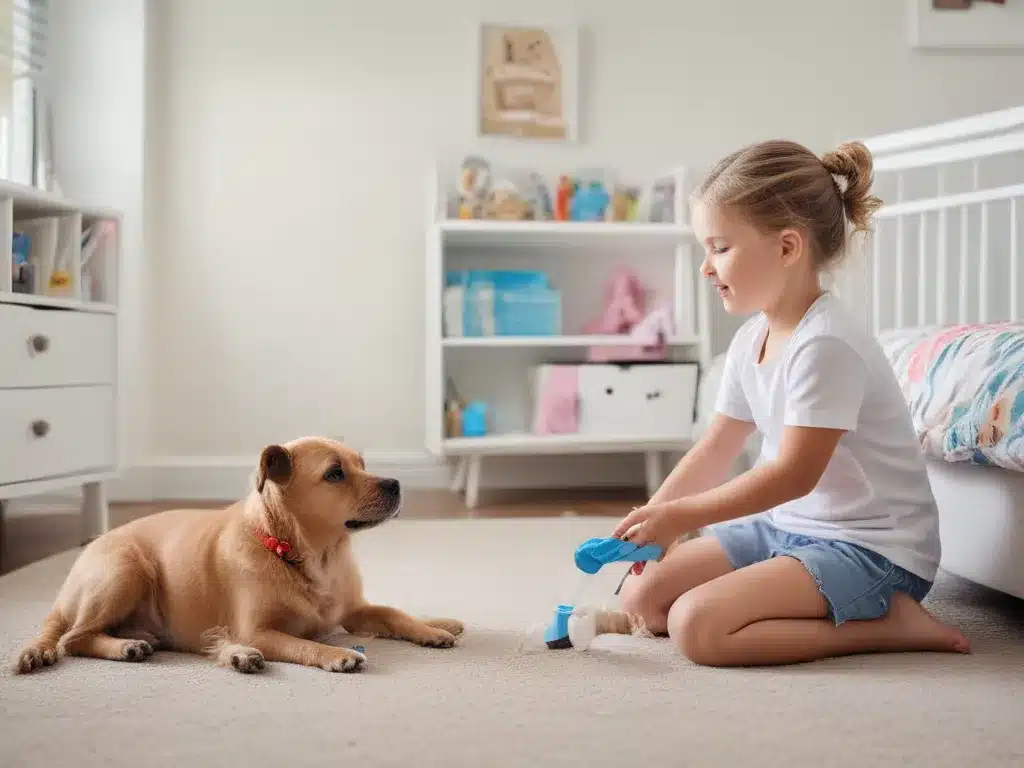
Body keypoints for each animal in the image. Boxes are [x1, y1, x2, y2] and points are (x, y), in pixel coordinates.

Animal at [11, 436, 468, 675]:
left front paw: (431, 628)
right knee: (73, 637)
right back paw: (130, 647)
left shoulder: (354, 609)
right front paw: (338, 653)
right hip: (126, 569)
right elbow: (303, 645)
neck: (311, 555)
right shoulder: (259, 630)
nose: (396, 484)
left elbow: (393, 612)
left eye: (362, 463)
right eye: (335, 473)